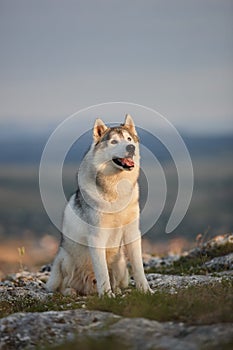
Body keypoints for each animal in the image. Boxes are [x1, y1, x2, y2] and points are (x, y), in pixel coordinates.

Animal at [46, 114, 152, 296]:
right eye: (114, 142)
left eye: (129, 139)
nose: (131, 147)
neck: (116, 190)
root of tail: (90, 288)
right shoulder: (97, 238)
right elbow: (102, 272)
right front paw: (107, 296)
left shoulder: (132, 233)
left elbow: (138, 267)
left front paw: (146, 290)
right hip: (65, 259)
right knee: (64, 285)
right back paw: (71, 291)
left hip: (121, 262)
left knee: (116, 280)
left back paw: (117, 290)